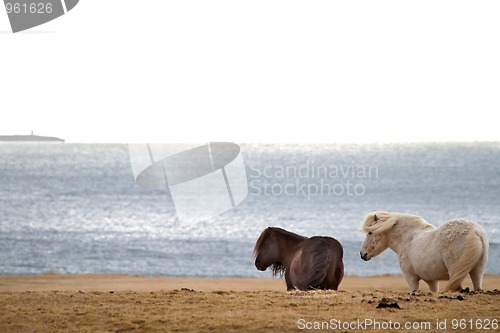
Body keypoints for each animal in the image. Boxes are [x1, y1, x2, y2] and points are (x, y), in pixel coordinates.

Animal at [360, 210, 488, 290]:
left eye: (370, 232)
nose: (362, 254)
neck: (407, 238)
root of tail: (475, 232)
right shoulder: (432, 281)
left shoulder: (411, 278)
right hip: (477, 271)